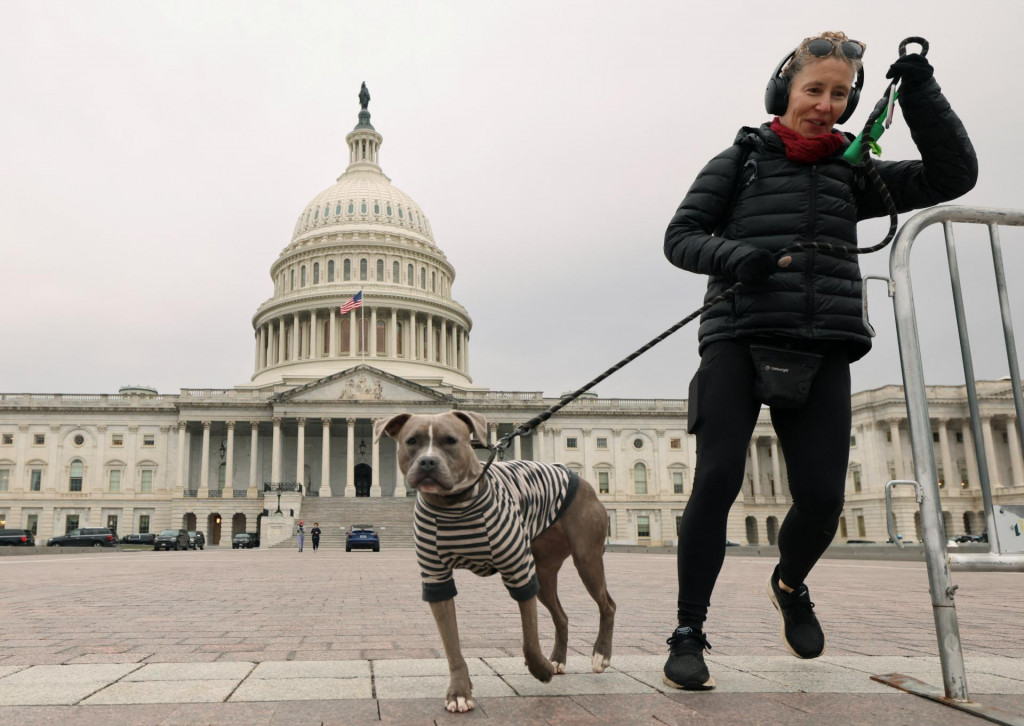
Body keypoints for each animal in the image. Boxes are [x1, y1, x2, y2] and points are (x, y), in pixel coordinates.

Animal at [376, 411, 614, 712]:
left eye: (451, 440)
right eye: (412, 441)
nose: (428, 462)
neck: (454, 506)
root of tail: (578, 477)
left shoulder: (519, 572)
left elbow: (529, 641)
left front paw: (541, 670)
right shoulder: (436, 580)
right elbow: (451, 645)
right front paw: (459, 692)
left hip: (586, 560)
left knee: (608, 605)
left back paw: (600, 655)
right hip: (545, 573)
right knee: (562, 616)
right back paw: (558, 660)